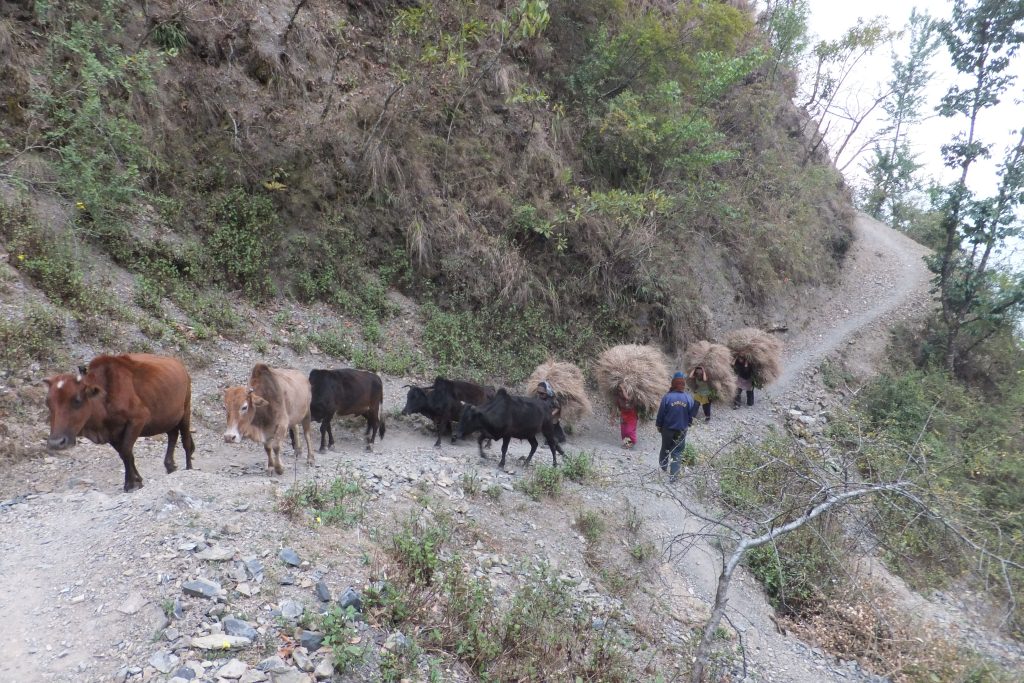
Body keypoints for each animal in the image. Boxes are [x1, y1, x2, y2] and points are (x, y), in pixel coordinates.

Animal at [42, 356, 193, 493]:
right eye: (48, 402)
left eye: (77, 400)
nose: (56, 442)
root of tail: (179, 365)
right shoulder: (111, 433)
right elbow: (125, 454)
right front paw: (136, 480)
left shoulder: (138, 419)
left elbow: (126, 451)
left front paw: (130, 484)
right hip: (169, 418)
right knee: (173, 435)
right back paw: (170, 466)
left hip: (185, 411)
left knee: (186, 441)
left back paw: (189, 467)